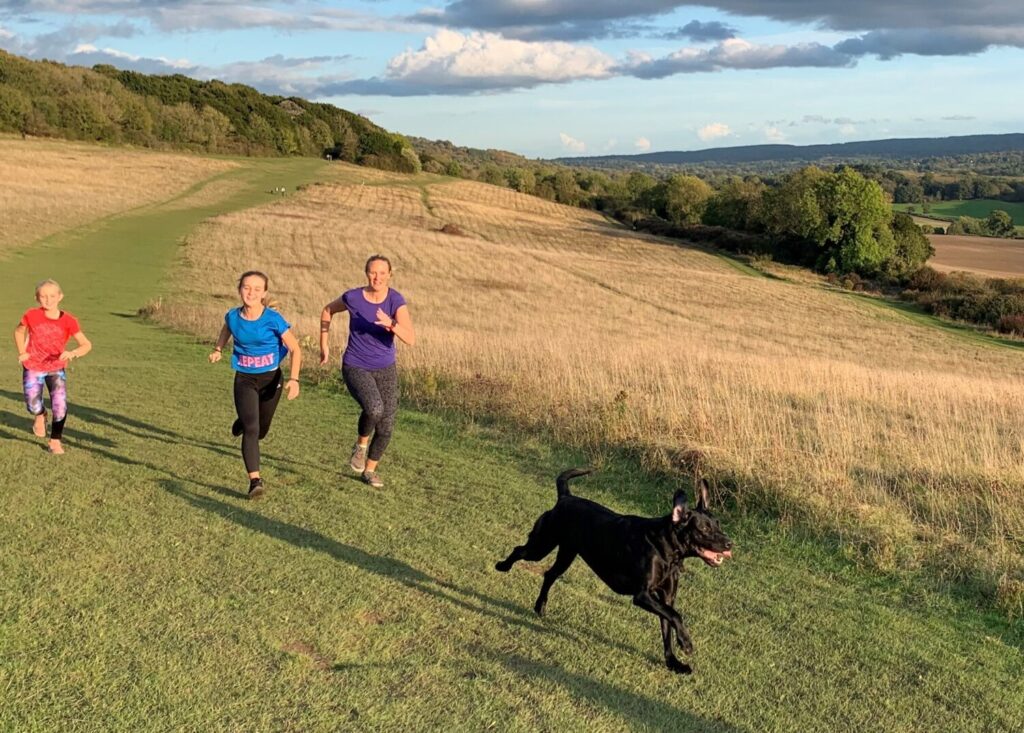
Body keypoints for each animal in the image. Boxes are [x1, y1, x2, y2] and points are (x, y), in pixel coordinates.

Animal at [493, 466, 729, 671]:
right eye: (704, 528)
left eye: (718, 524)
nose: (729, 544)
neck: (666, 547)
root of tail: (565, 497)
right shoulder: (643, 595)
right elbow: (676, 616)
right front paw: (686, 643)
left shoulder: (666, 598)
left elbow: (667, 627)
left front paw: (674, 663)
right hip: (542, 544)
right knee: (519, 551)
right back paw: (502, 566)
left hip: (566, 554)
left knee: (550, 574)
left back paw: (540, 607)